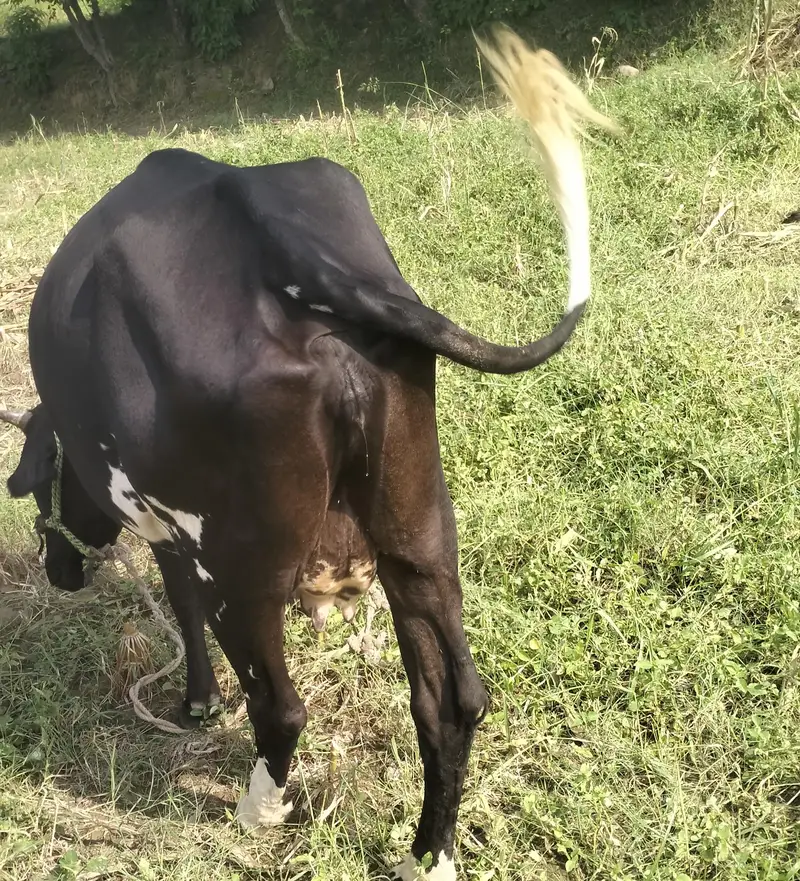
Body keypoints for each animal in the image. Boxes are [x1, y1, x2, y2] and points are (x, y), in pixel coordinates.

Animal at [0, 32, 612, 880]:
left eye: (36, 486)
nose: (58, 569)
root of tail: (294, 249)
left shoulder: (170, 528)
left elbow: (181, 604)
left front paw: (198, 703)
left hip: (241, 561)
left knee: (283, 703)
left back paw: (259, 810)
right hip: (420, 528)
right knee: (453, 697)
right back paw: (429, 853)